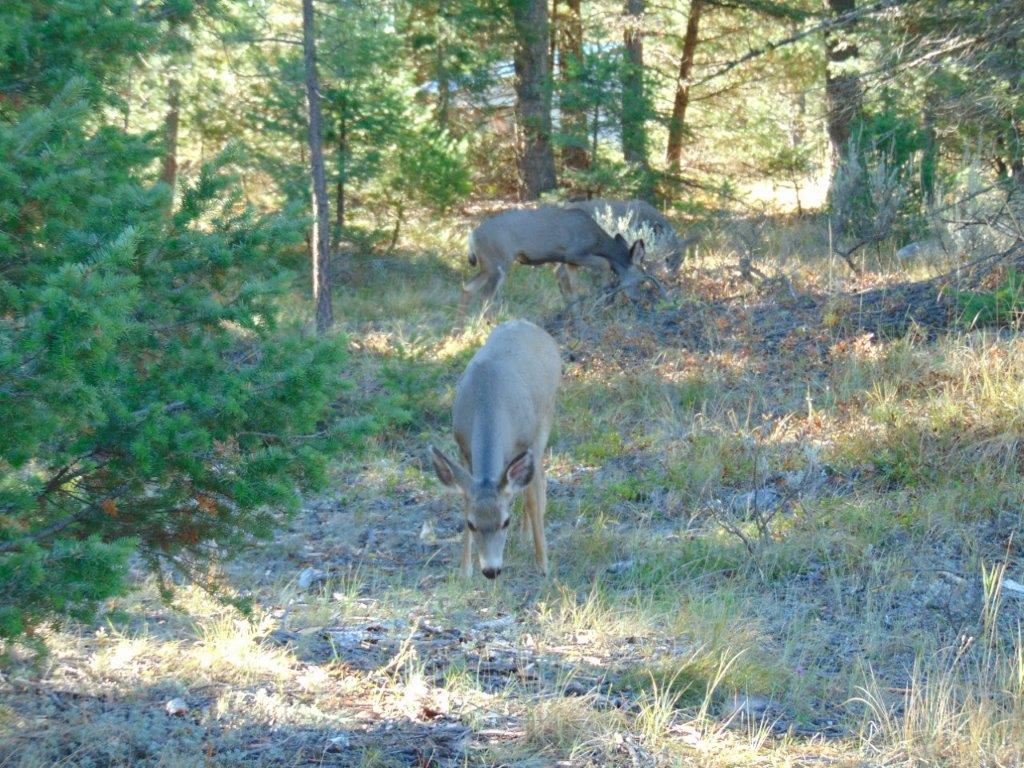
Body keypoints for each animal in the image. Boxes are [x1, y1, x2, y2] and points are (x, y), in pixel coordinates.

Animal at [429, 319, 561, 579]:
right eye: (471, 524)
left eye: (505, 522)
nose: (491, 570)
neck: (487, 402)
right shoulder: (462, 447)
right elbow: (465, 500)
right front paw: (464, 570)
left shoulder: (527, 440)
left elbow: (531, 498)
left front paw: (543, 564)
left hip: (546, 415)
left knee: (538, 480)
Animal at [459, 206, 662, 320]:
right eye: (642, 280)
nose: (639, 299)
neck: (598, 240)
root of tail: (471, 237)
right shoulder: (576, 253)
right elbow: (604, 264)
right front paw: (604, 301)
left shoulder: (568, 260)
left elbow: (571, 287)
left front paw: (577, 316)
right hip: (498, 262)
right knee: (485, 296)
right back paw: (487, 324)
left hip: (488, 265)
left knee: (468, 286)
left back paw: (461, 326)